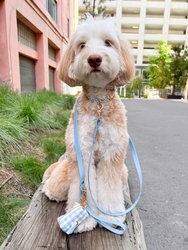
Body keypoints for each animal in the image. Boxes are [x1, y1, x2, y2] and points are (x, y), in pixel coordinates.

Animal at [41, 17, 134, 232]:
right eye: (82, 45)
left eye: (108, 42)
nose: (94, 59)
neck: (98, 104)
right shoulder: (82, 152)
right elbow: (82, 191)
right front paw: (84, 219)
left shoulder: (113, 154)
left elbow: (109, 189)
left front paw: (111, 216)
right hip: (64, 173)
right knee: (54, 187)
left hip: (123, 171)